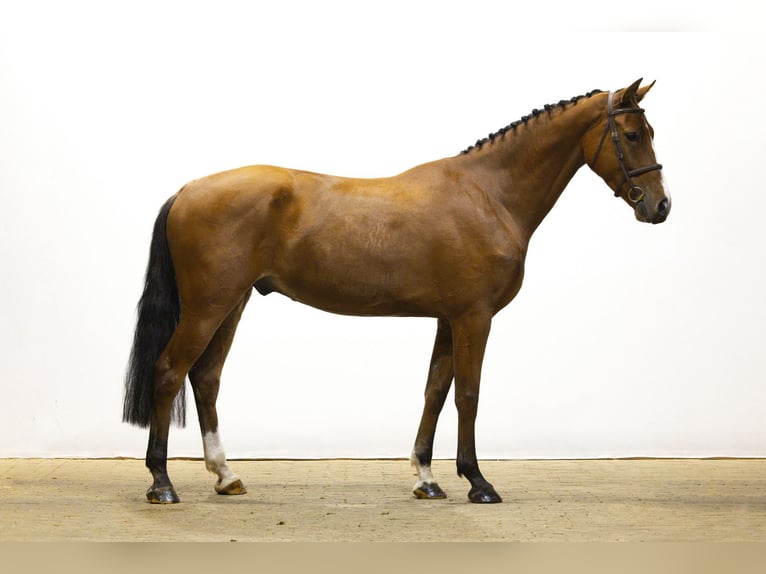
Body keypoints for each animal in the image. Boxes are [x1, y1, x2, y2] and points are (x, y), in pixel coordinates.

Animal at [123, 78, 670, 504]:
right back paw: (162, 483)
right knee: (169, 372)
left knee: (206, 378)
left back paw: (226, 476)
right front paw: (478, 482)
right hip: (207, 306)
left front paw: (426, 479)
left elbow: (435, 391)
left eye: (649, 132)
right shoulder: (474, 317)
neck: (488, 194)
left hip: (230, 304)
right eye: (631, 134)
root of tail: (187, 190)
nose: (660, 206)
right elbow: (468, 394)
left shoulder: (449, 319)